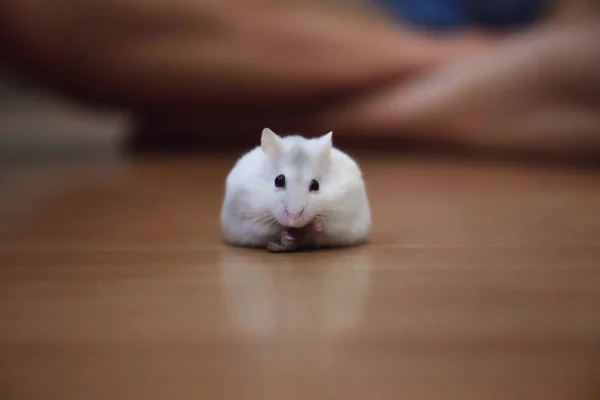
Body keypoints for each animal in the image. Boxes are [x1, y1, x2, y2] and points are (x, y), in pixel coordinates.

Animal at [220, 127, 370, 253]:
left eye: (315, 185)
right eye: (278, 180)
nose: (294, 220)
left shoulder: (343, 216)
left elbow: (326, 226)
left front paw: (315, 224)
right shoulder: (249, 219)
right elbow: (270, 229)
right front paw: (287, 236)